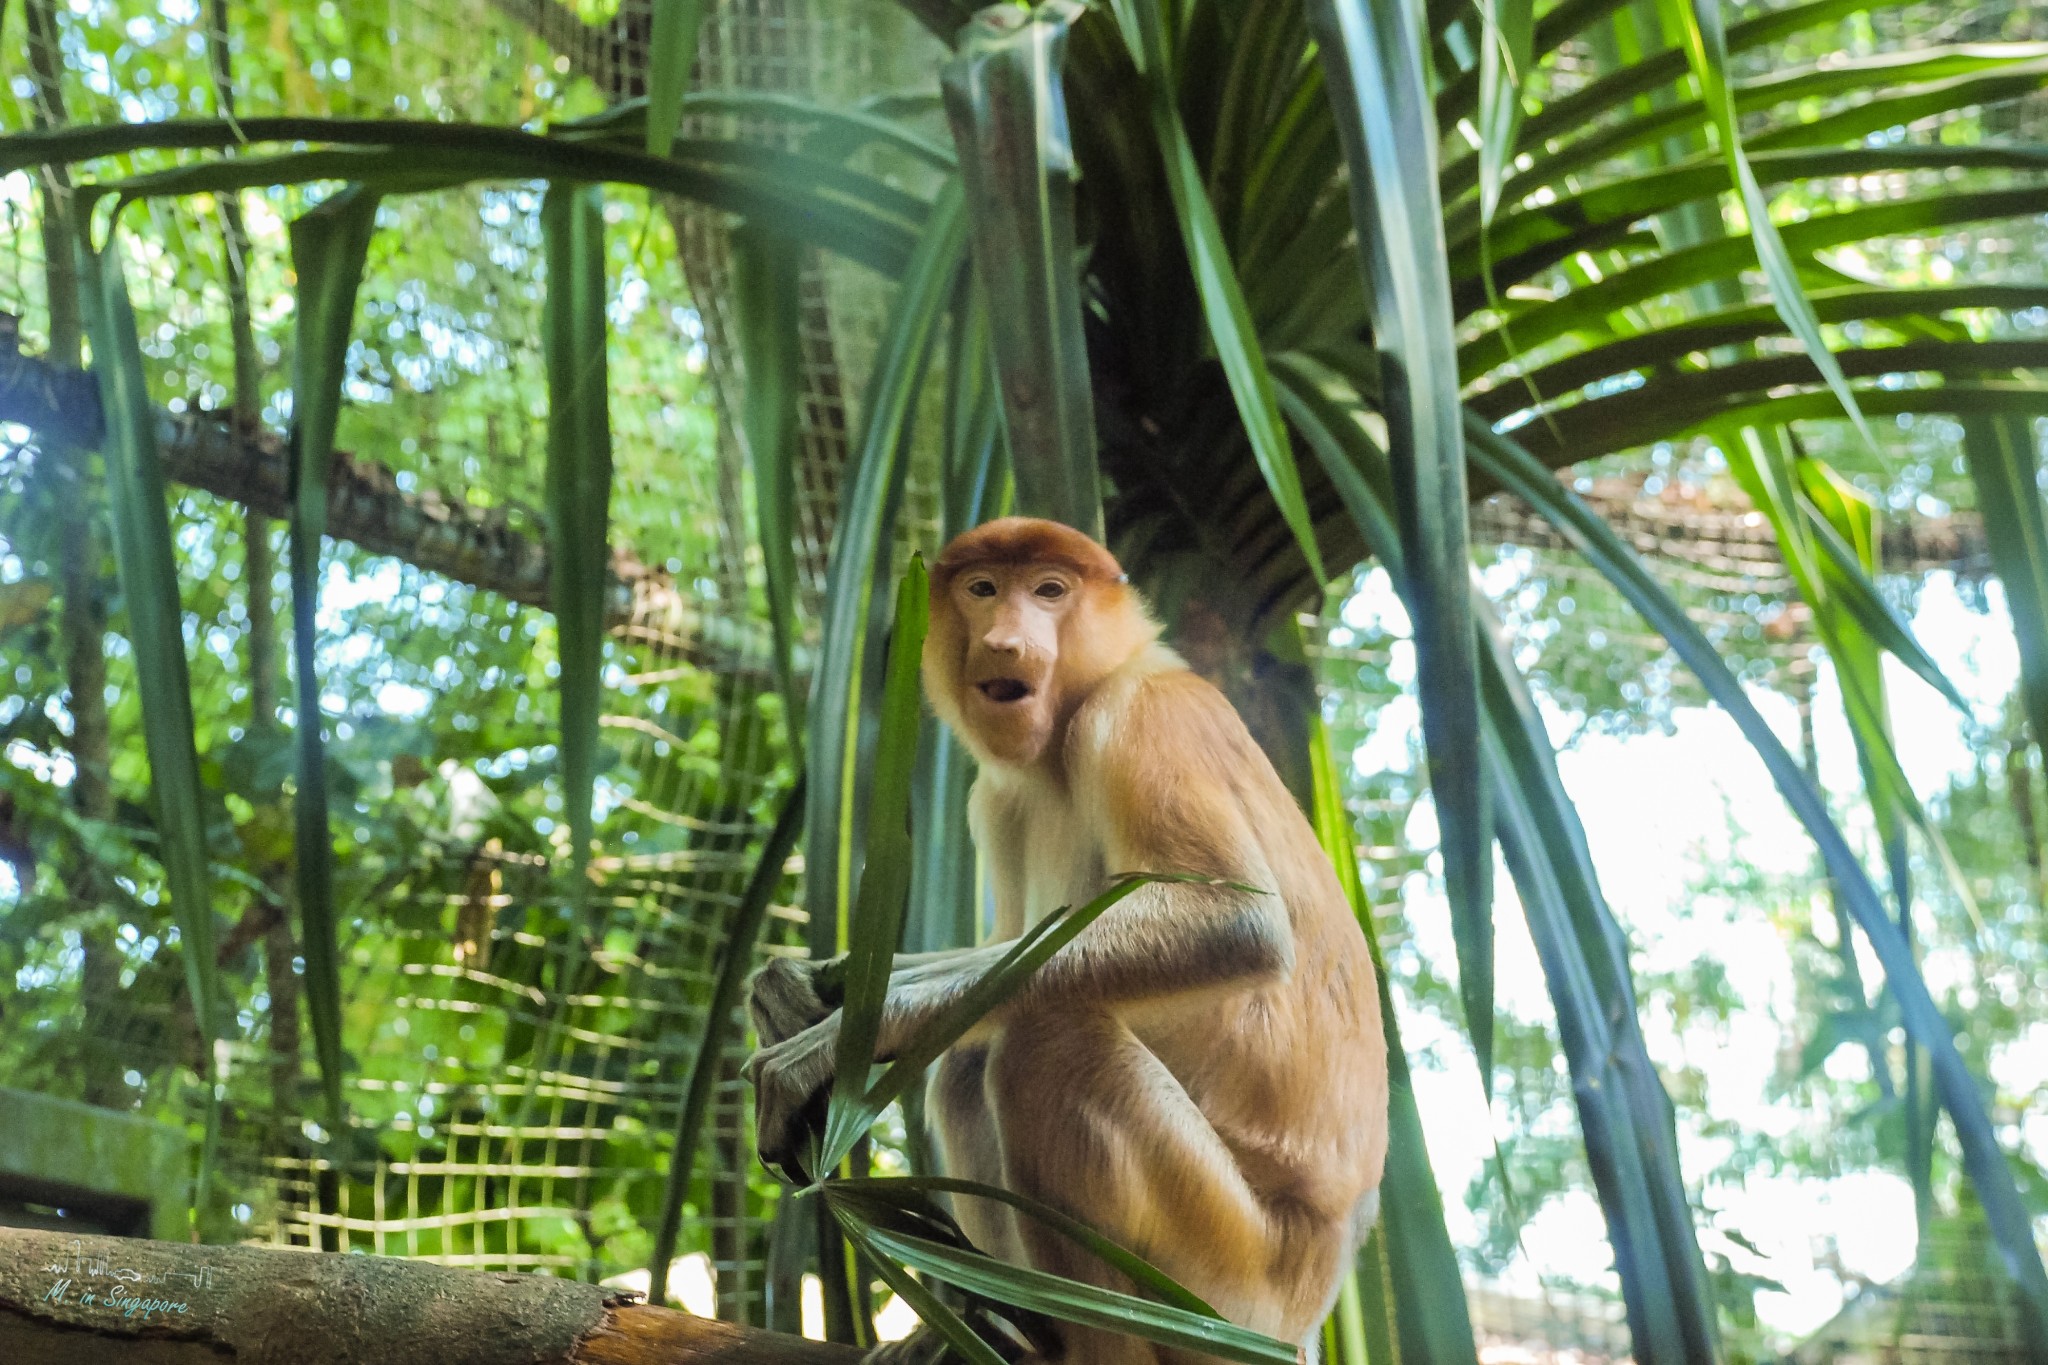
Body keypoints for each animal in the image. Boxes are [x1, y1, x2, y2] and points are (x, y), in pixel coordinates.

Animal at [745, 517, 1384, 1358]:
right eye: (984, 589)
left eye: (1050, 590)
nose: (1007, 642)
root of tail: (1318, 1293)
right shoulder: (996, 799)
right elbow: (1015, 941)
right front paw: (805, 987)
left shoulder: (1143, 714)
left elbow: (1233, 926)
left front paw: (831, 1040)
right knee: (971, 1055)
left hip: (1233, 1277)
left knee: (1046, 1042)